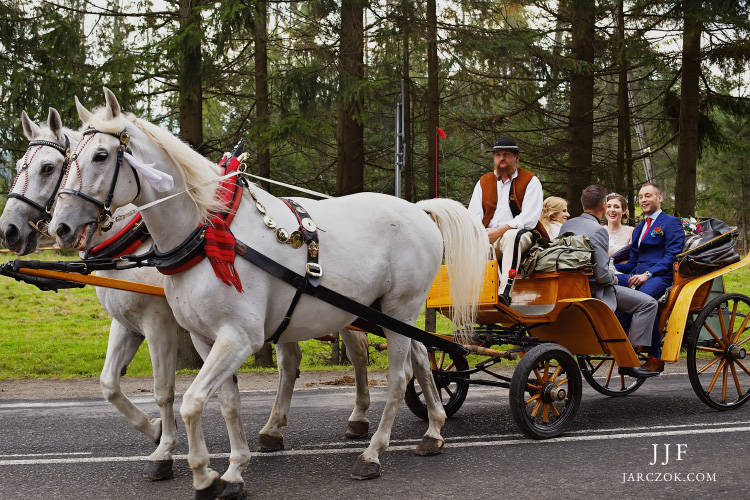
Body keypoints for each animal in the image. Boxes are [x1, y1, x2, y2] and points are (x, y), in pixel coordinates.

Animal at [0, 108, 374, 480]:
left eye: (48, 167)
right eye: (19, 164)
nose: (9, 230)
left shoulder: (159, 323)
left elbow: (164, 389)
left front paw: (164, 449)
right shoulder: (128, 324)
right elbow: (109, 384)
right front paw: (153, 430)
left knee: (357, 352)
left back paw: (358, 418)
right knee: (291, 360)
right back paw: (272, 430)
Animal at [53, 88, 488, 498]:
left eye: (101, 156)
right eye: (68, 158)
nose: (60, 227)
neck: (208, 233)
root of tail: (419, 209)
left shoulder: (237, 337)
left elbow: (191, 401)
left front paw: (202, 474)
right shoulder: (205, 338)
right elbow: (226, 404)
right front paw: (231, 470)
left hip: (399, 310)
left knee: (398, 378)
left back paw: (372, 454)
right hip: (383, 312)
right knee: (421, 358)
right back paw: (433, 430)